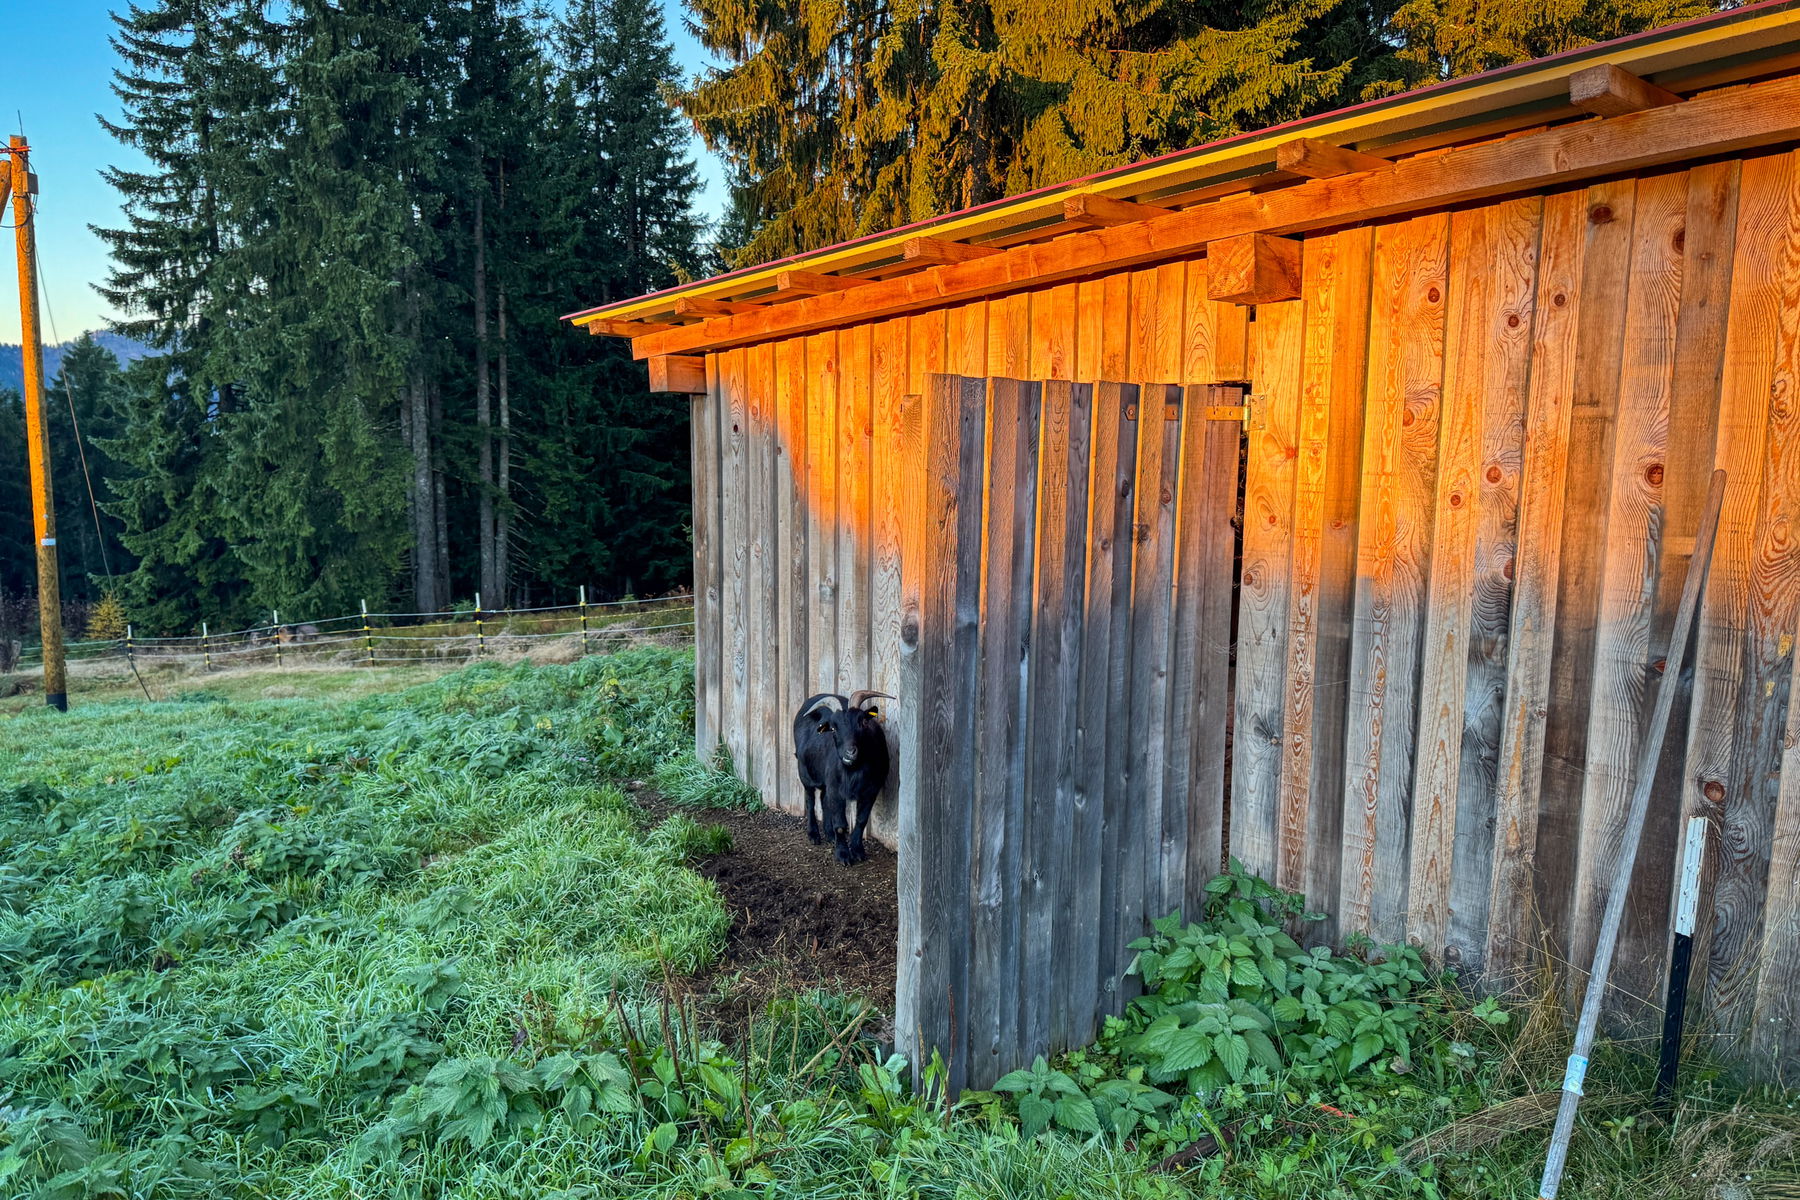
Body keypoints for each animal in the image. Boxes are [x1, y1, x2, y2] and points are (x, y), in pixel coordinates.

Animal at [793, 690, 892, 865]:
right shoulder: (836, 789)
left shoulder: (870, 791)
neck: (853, 770)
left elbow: (861, 821)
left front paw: (858, 850)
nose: (850, 753)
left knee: (823, 799)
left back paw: (829, 834)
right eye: (833, 728)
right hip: (804, 772)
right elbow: (840, 824)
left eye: (863, 722)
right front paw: (843, 855)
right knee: (810, 801)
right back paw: (814, 835)